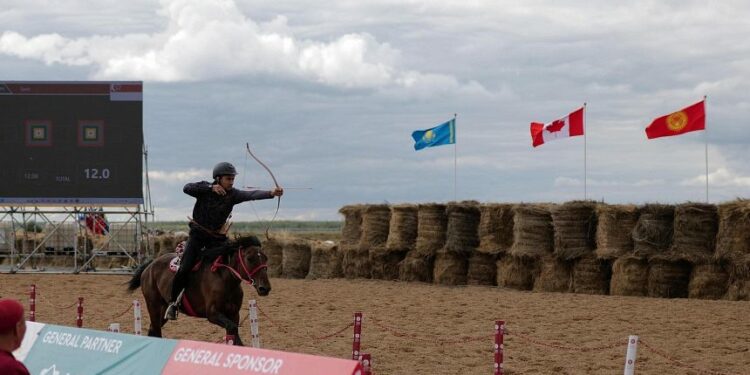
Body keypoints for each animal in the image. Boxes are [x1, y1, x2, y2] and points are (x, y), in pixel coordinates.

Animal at [128, 236, 272, 346]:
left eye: (265, 258)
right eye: (249, 258)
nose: (265, 288)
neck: (224, 279)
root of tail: (151, 265)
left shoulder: (234, 314)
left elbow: (235, 335)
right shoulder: (212, 314)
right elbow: (232, 329)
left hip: (163, 311)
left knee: (153, 330)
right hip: (154, 306)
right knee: (156, 331)